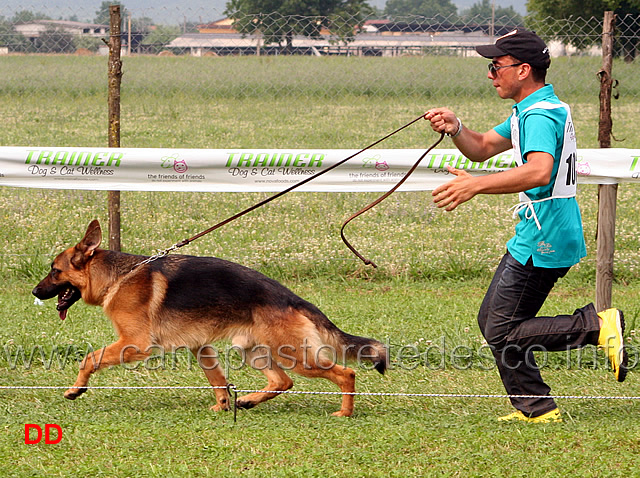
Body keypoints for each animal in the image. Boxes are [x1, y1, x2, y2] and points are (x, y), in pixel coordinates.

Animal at [32, 219, 388, 414]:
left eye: (54, 270)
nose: (35, 292)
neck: (117, 276)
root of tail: (292, 298)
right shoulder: (199, 346)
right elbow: (217, 380)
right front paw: (222, 406)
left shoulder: (134, 343)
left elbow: (90, 358)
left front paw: (76, 389)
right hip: (253, 351)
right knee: (282, 381)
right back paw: (248, 402)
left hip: (296, 356)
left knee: (345, 374)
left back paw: (344, 413)